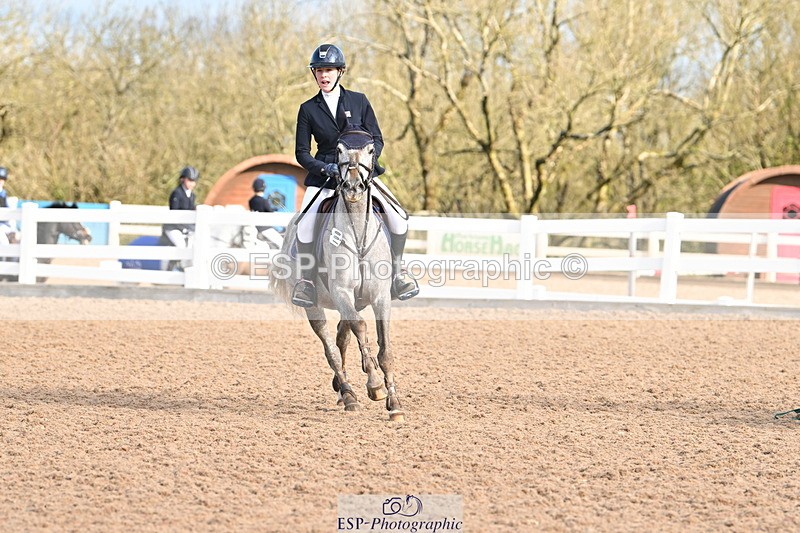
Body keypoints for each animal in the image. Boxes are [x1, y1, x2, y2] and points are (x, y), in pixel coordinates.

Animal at [270, 129, 405, 422]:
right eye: (339, 151)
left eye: (370, 150)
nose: (353, 188)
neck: (357, 234)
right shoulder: (342, 292)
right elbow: (361, 328)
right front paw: (374, 385)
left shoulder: (379, 296)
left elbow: (385, 348)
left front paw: (395, 403)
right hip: (315, 306)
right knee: (331, 347)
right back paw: (348, 393)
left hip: (354, 301)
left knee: (342, 336)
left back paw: (344, 390)